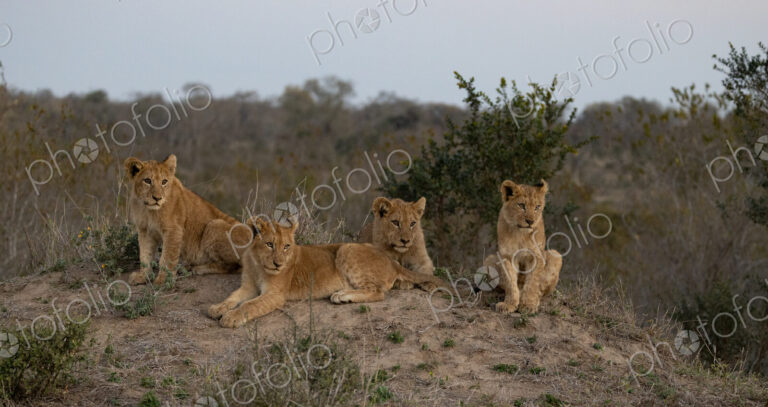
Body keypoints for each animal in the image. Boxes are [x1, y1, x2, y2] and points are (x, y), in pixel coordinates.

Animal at [123, 154, 249, 286]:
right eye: (147, 181)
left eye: (164, 182)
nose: (157, 198)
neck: (149, 210)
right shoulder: (145, 230)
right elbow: (144, 255)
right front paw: (143, 276)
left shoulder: (174, 230)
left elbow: (167, 257)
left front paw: (163, 280)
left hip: (214, 225)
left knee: (234, 266)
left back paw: (197, 268)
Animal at [208, 217, 448, 328]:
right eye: (269, 244)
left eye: (286, 246)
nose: (278, 264)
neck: (259, 263)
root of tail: (391, 260)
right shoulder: (247, 286)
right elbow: (233, 297)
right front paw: (217, 308)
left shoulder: (275, 295)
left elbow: (249, 305)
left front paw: (230, 318)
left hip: (346, 248)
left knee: (378, 292)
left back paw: (342, 296)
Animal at [483, 180, 562, 314]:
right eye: (521, 205)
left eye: (537, 207)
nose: (530, 221)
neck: (521, 233)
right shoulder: (507, 256)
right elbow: (510, 281)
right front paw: (509, 304)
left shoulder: (536, 256)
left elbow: (533, 282)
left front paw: (528, 305)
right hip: (489, 260)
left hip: (555, 255)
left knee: (541, 290)